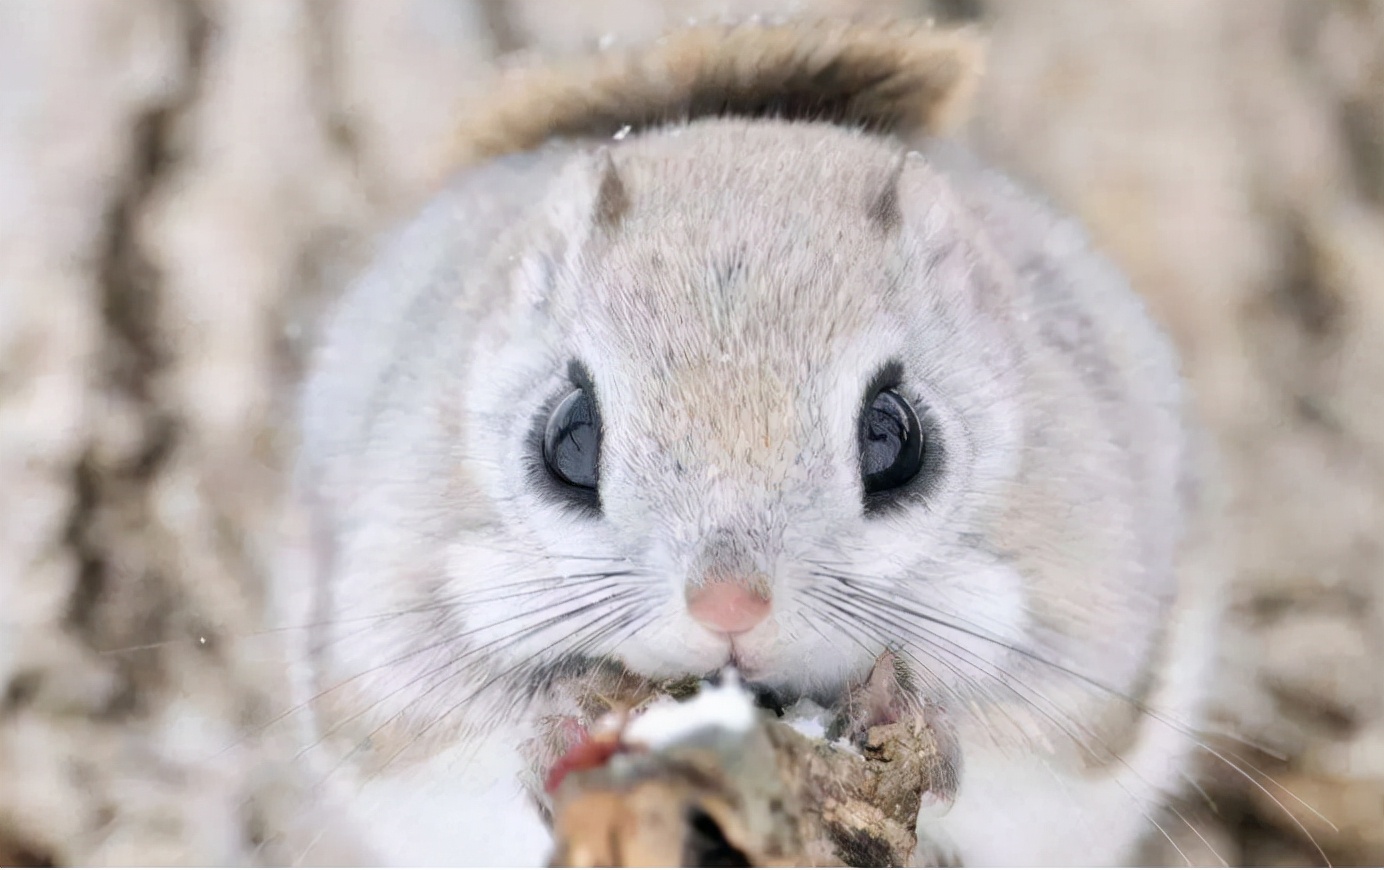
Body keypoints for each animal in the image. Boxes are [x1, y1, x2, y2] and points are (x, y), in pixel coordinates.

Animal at [275, 15, 1228, 868]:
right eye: (568, 439)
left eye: (894, 438)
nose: (728, 608)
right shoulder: (394, 621)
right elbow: (444, 730)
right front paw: (561, 720)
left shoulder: (1085, 624)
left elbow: (1022, 735)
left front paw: (909, 718)